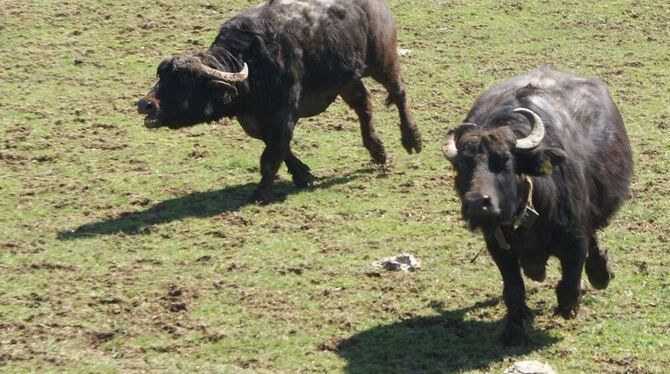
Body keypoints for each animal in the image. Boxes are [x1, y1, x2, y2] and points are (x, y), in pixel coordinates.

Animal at [136, 0, 422, 202]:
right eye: (161, 76)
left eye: (184, 81)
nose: (145, 104)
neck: (253, 64)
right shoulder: (254, 121)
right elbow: (278, 148)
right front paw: (303, 175)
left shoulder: (284, 114)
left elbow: (271, 156)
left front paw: (261, 193)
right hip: (347, 77)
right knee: (364, 106)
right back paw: (378, 151)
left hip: (383, 59)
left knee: (399, 93)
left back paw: (412, 139)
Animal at [444, 65, 632, 346]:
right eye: (462, 166)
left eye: (505, 161)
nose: (477, 204)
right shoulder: (497, 246)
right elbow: (513, 288)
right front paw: (514, 328)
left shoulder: (574, 237)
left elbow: (570, 279)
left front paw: (568, 307)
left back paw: (600, 274)